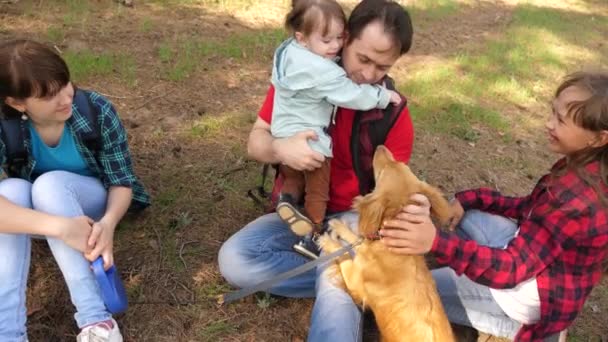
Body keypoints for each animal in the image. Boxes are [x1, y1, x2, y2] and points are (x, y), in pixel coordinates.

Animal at [316, 145, 454, 342]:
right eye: (400, 163)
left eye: (381, 173)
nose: (380, 147)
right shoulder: (367, 245)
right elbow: (357, 240)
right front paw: (339, 226)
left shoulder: (355, 283)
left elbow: (344, 253)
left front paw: (327, 240)